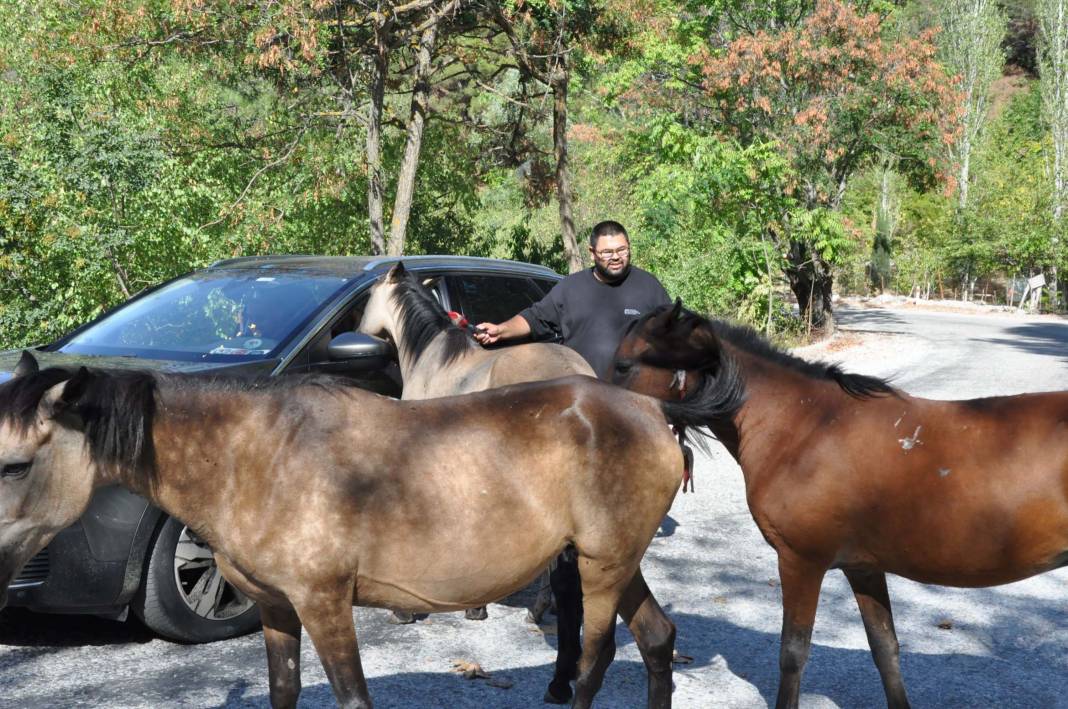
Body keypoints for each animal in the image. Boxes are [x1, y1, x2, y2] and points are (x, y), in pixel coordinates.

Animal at [0, 352, 700, 709]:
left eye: (16, 464)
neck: (257, 456)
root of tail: (651, 408)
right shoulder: (277, 607)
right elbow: (283, 691)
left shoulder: (325, 602)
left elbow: (352, 698)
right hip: (616, 561)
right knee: (657, 639)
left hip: (601, 566)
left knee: (595, 659)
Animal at [615, 301, 1068, 709]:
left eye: (622, 366)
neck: (807, 427)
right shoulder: (863, 567)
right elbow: (885, 648)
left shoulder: (801, 562)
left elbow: (793, 654)